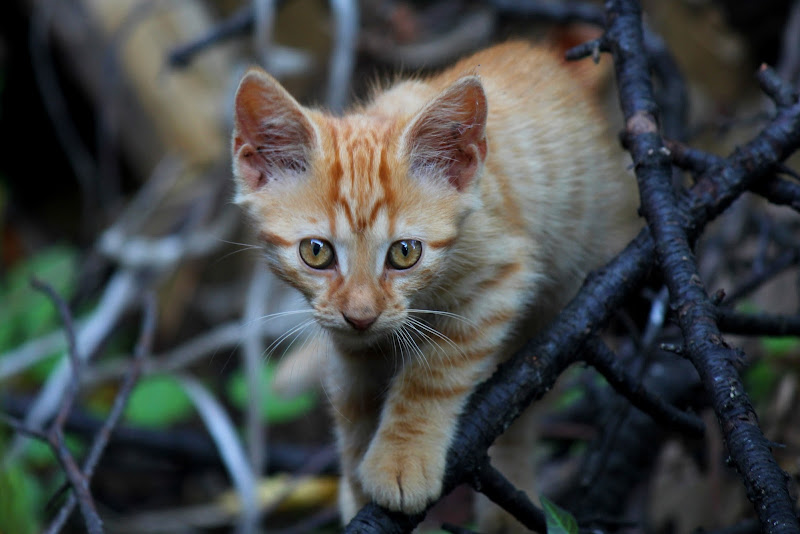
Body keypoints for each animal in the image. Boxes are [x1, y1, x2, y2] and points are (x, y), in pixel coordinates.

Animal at [230, 40, 636, 532]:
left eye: (405, 253)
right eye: (316, 252)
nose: (361, 314)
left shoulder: (502, 275)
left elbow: (434, 371)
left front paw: (400, 460)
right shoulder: (350, 343)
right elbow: (353, 406)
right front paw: (356, 485)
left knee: (522, 419)